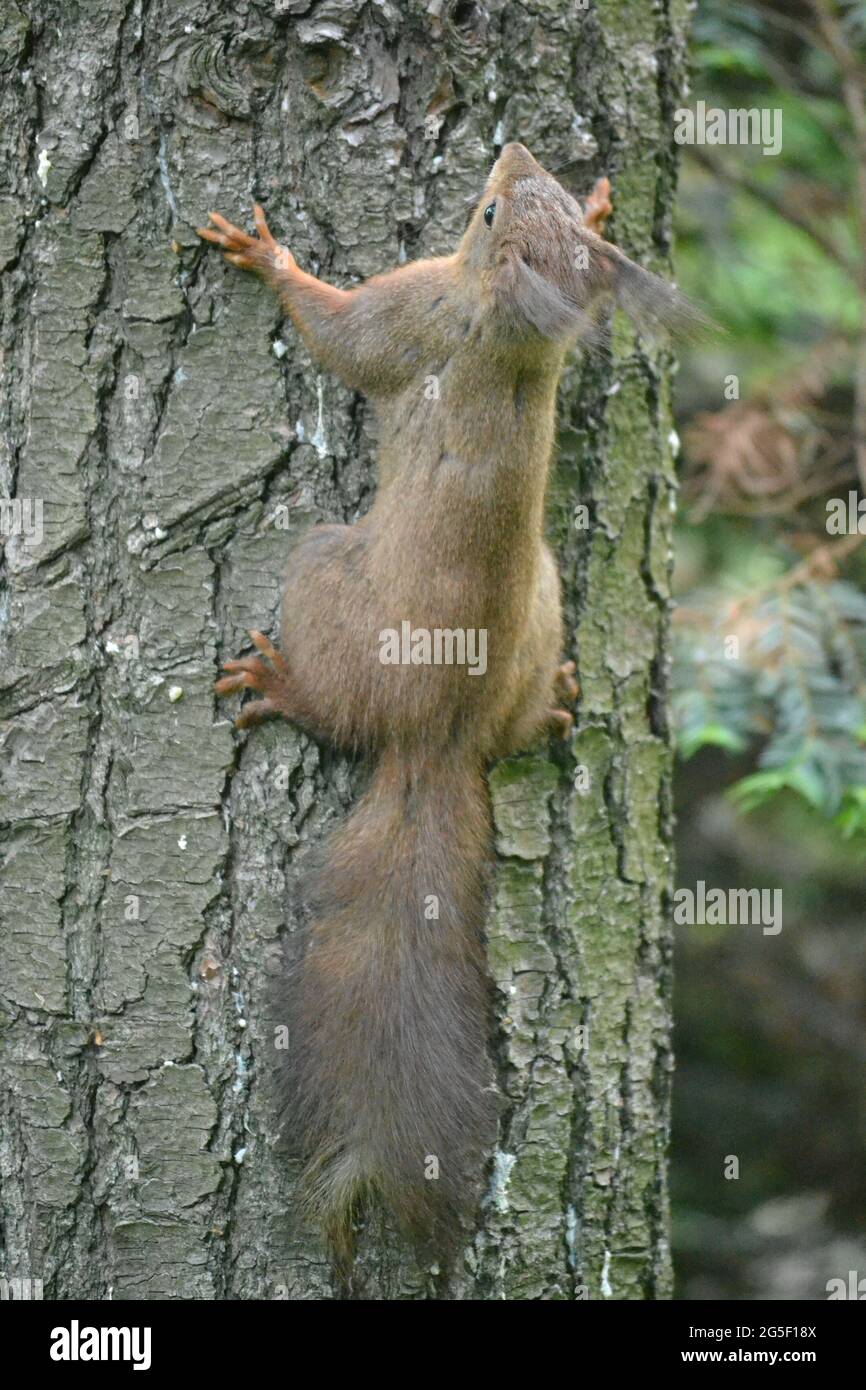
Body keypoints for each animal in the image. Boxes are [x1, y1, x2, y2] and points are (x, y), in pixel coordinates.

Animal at [198, 141, 697, 1273]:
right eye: (526, 198)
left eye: (485, 213)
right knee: (521, 719)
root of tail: (441, 736)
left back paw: (280, 685)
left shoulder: (413, 311)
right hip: (545, 604)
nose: (511, 150)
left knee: (331, 699)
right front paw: (607, 208)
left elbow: (341, 334)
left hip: (322, 571)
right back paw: (552, 709)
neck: (503, 325)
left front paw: (265, 255)